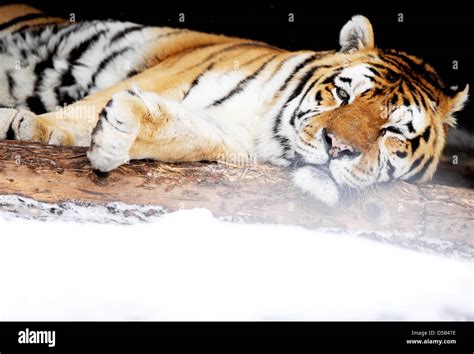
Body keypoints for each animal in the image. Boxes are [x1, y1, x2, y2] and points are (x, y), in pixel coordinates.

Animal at [0, 4, 468, 206]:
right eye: (343, 94)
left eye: (392, 131)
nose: (338, 148)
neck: (266, 130)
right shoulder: (162, 76)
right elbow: (78, 114)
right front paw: (29, 126)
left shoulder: (226, 142)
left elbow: (181, 132)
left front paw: (118, 132)